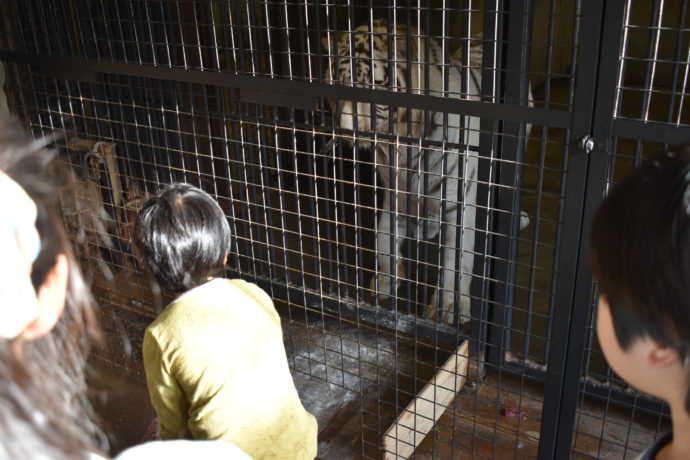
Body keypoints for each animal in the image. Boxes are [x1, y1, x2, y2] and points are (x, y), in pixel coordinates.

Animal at [324, 18, 532, 324]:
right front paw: (386, 281)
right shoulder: (395, 196)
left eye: (375, 86)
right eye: (338, 85)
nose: (348, 133)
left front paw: (450, 308)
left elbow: (456, 263)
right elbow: (383, 241)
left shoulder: (458, 205)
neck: (401, 147)